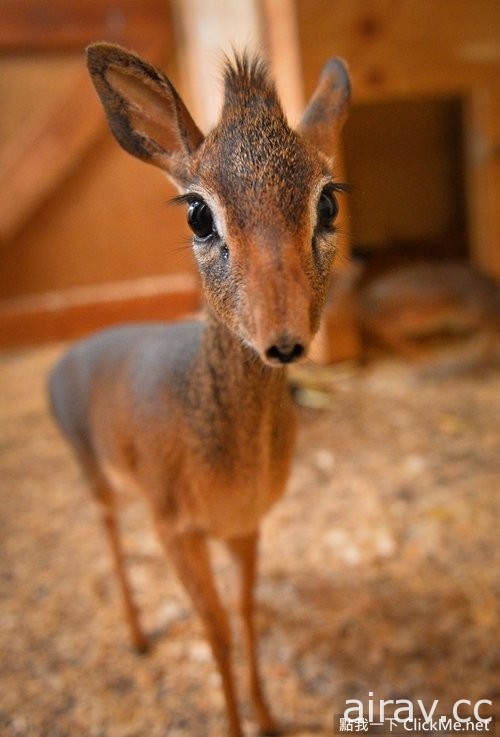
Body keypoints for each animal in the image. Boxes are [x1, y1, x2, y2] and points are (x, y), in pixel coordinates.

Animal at [48, 43, 350, 732]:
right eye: (197, 212)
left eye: (328, 202)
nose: (283, 338)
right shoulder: (176, 529)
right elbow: (213, 630)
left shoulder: (245, 524)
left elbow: (244, 614)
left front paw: (268, 717)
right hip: (95, 475)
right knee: (108, 535)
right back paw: (136, 635)